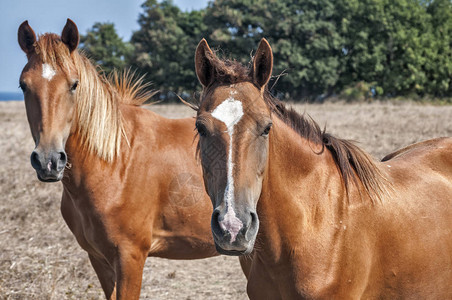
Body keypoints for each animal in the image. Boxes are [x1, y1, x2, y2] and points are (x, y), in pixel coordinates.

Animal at [17, 19, 233, 300]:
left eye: (74, 84)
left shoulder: (130, 257)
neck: (117, 163)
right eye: (23, 85)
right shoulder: (98, 258)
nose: (49, 161)